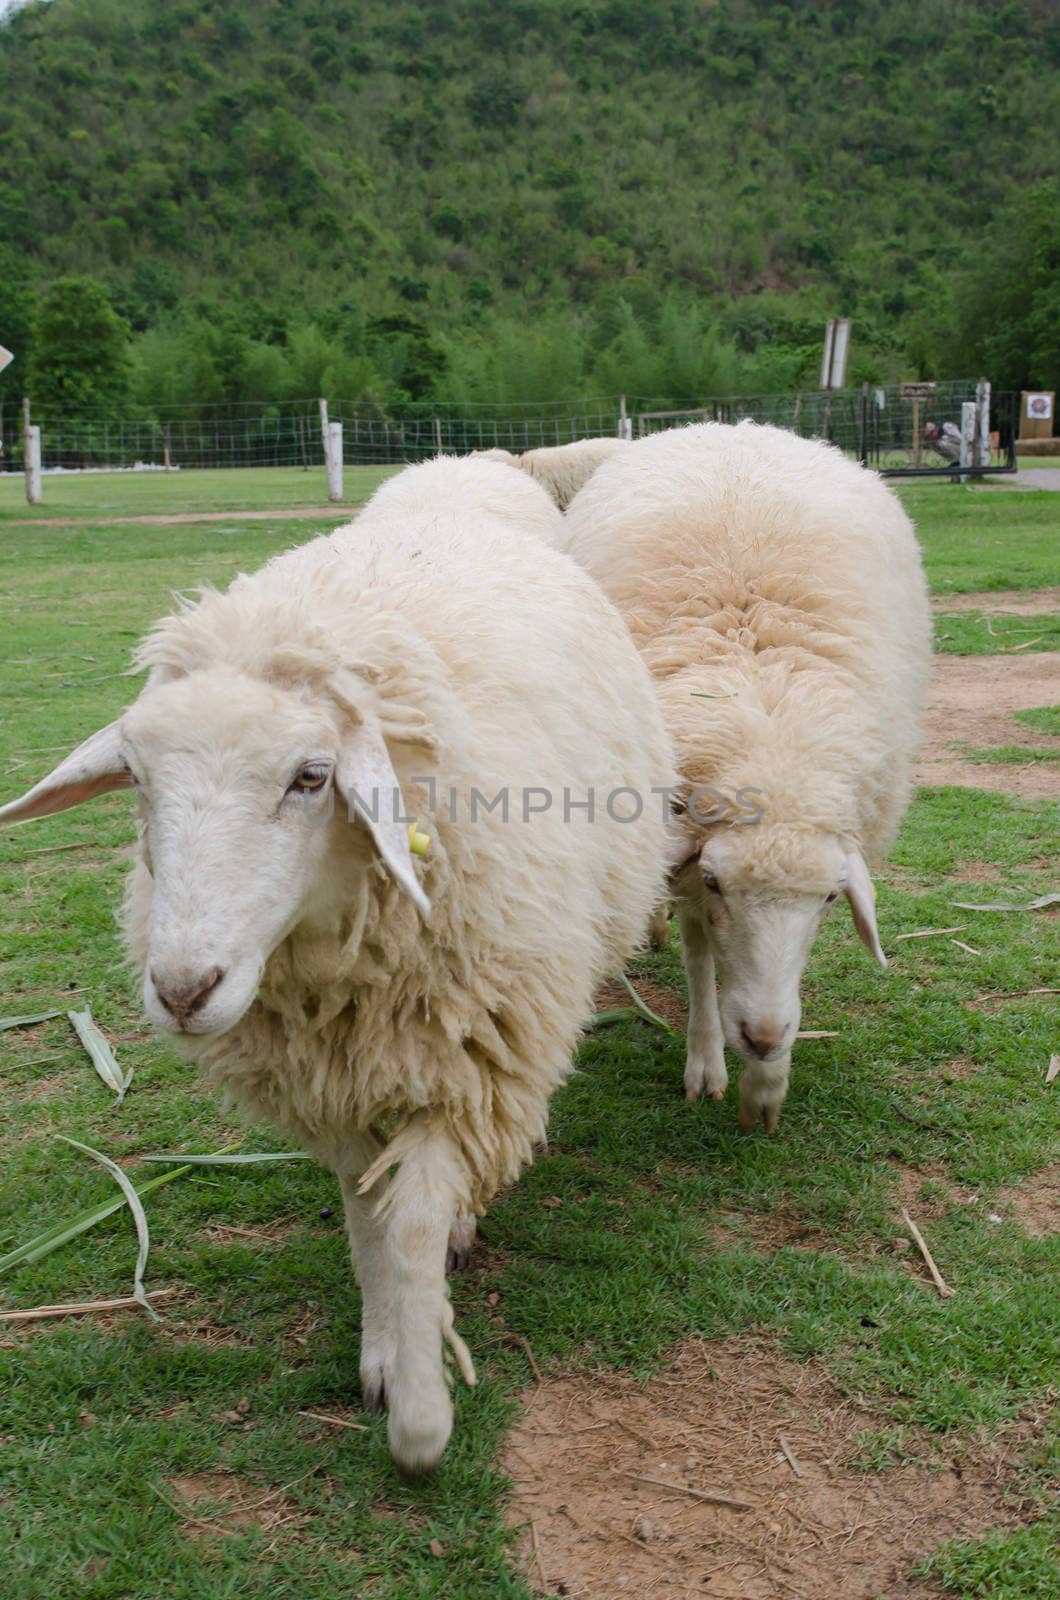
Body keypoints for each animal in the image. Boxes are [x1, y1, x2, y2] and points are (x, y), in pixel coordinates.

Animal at [0, 454, 675, 1472]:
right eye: (139, 782)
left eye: (311, 777)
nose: (183, 991)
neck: (338, 979)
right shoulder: (332, 1083)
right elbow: (369, 1221)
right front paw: (388, 1351)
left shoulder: (470, 1065)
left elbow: (411, 1227)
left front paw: (422, 1418)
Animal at [560, 419, 935, 1132]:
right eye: (715, 880)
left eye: (830, 897)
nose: (762, 1036)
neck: (770, 746)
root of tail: (731, 425)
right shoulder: (688, 858)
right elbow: (701, 953)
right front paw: (708, 1062)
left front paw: (766, 1086)